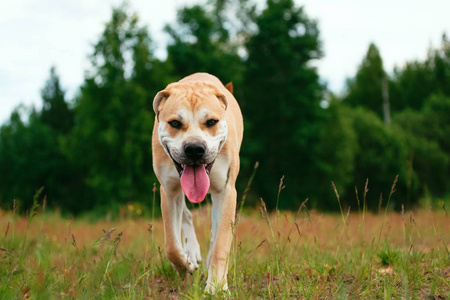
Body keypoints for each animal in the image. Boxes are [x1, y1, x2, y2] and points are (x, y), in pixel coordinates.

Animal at [151, 72, 243, 292]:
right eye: (175, 123)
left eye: (211, 122)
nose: (194, 148)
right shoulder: (168, 190)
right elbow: (171, 245)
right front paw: (185, 265)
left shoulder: (226, 191)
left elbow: (221, 242)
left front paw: (216, 286)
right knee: (185, 214)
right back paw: (191, 252)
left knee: (215, 231)